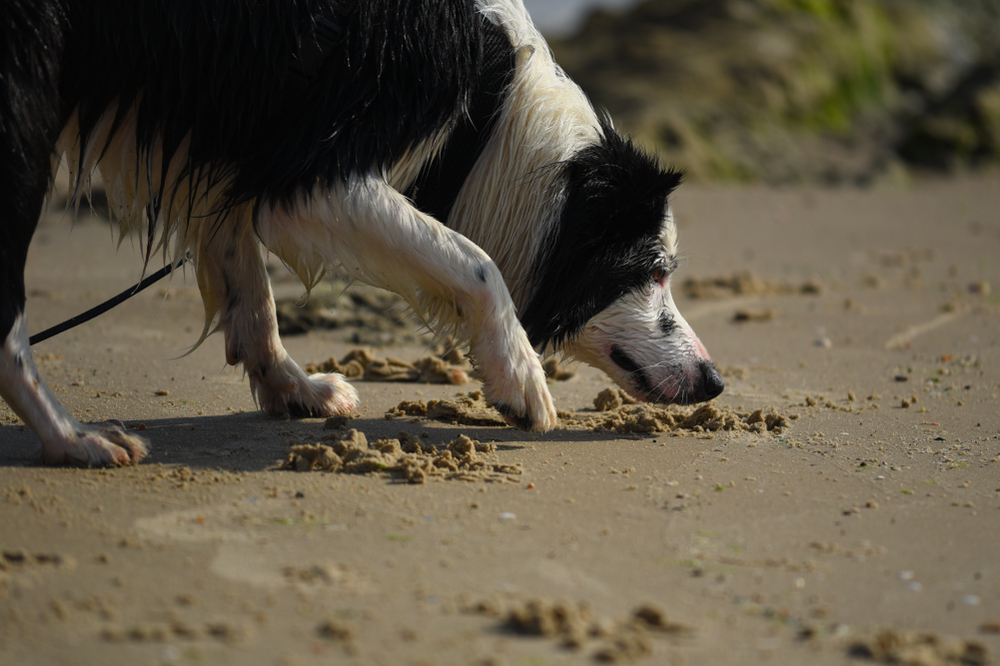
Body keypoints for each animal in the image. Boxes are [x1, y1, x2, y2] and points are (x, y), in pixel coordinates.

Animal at [0, 0, 720, 464]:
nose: (715, 381)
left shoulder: (247, 156)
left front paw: (292, 386)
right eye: (653, 270)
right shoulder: (311, 175)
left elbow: (247, 286)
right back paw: (72, 438)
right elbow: (475, 261)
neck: (491, 108)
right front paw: (519, 379)